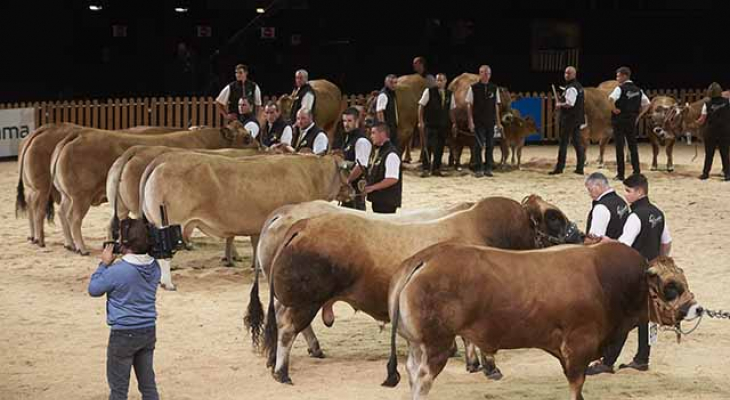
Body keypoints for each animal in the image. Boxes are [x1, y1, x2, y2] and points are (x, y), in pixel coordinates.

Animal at [51, 120, 256, 255]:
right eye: (247, 138)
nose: (260, 146)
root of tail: (77, 134)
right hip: (81, 196)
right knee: (74, 218)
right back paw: (82, 248)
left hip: (71, 196)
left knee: (63, 213)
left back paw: (71, 245)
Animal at [139, 154, 352, 290]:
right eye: (347, 172)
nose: (352, 190)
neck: (311, 176)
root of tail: (162, 160)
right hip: (168, 223)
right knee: (164, 255)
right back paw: (168, 283)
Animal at [250, 195, 580, 382]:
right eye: (554, 218)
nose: (580, 235)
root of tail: (299, 225)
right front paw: (489, 367)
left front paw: (473, 363)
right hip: (304, 301)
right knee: (288, 331)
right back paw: (282, 371)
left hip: (293, 300)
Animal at [378, 242, 696, 398]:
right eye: (671, 287)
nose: (697, 308)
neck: (608, 280)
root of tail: (425, 259)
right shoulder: (578, 347)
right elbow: (576, 387)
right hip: (437, 345)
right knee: (422, 379)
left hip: (419, 345)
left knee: (411, 372)